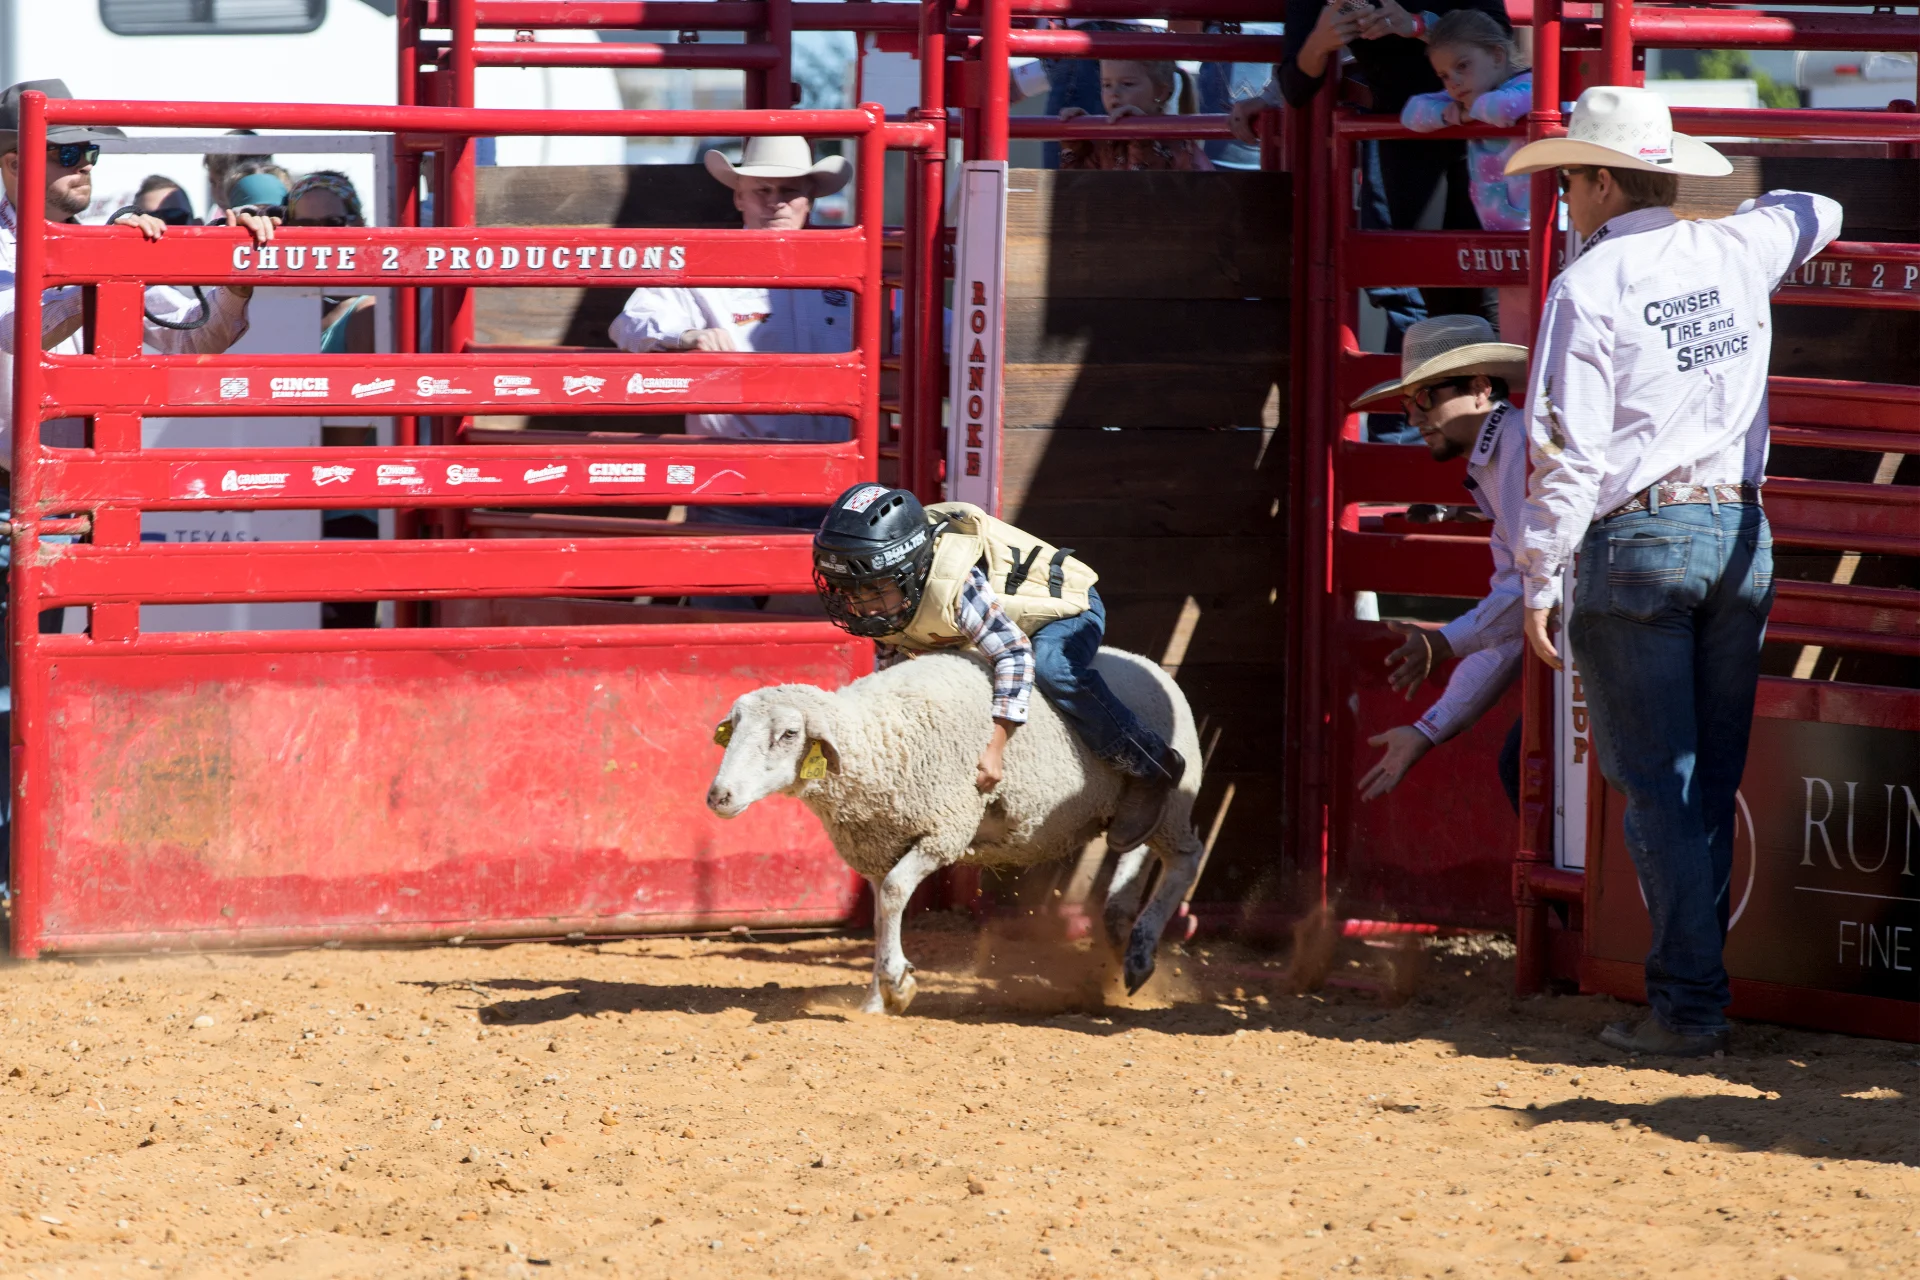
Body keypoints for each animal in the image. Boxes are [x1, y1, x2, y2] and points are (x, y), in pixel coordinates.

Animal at [705, 648, 1207, 1014]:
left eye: (789, 734)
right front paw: (875, 1000)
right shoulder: (880, 848)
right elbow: (881, 914)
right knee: (1135, 846)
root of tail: (1153, 668)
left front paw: (897, 983)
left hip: (1175, 802)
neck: (884, 738)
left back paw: (1140, 953)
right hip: (1129, 810)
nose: (719, 796)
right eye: (732, 730)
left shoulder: (943, 831)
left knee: (1184, 859)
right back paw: (1120, 922)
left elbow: (894, 894)